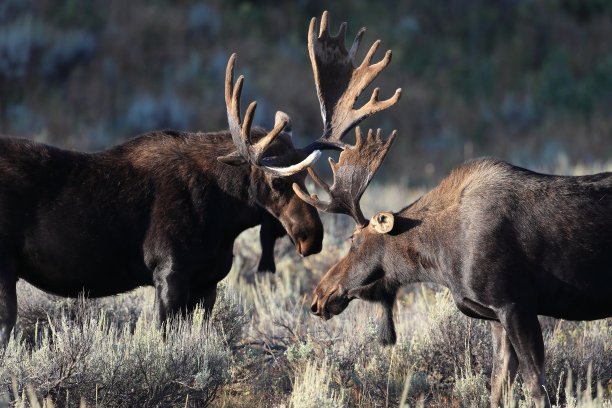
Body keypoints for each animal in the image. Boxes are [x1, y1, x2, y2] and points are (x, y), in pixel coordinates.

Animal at [298, 12, 612, 408]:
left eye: (353, 241)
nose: (318, 297)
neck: (440, 258)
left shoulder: (515, 303)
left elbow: (536, 385)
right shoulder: (494, 316)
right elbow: (497, 386)